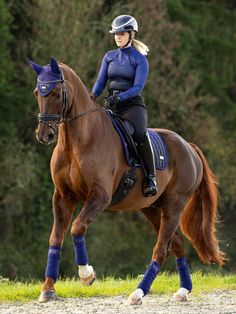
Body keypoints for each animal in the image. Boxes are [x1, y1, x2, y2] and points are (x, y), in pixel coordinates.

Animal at [28, 58, 224, 304]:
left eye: (55, 93)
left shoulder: (100, 196)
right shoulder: (63, 196)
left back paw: (138, 293)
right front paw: (47, 289)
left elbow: (77, 227)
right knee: (176, 245)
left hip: (174, 204)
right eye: (37, 92)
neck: (78, 142)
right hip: (152, 207)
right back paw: (182, 290)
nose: (44, 134)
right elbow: (55, 238)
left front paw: (86, 275)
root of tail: (189, 146)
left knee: (161, 249)